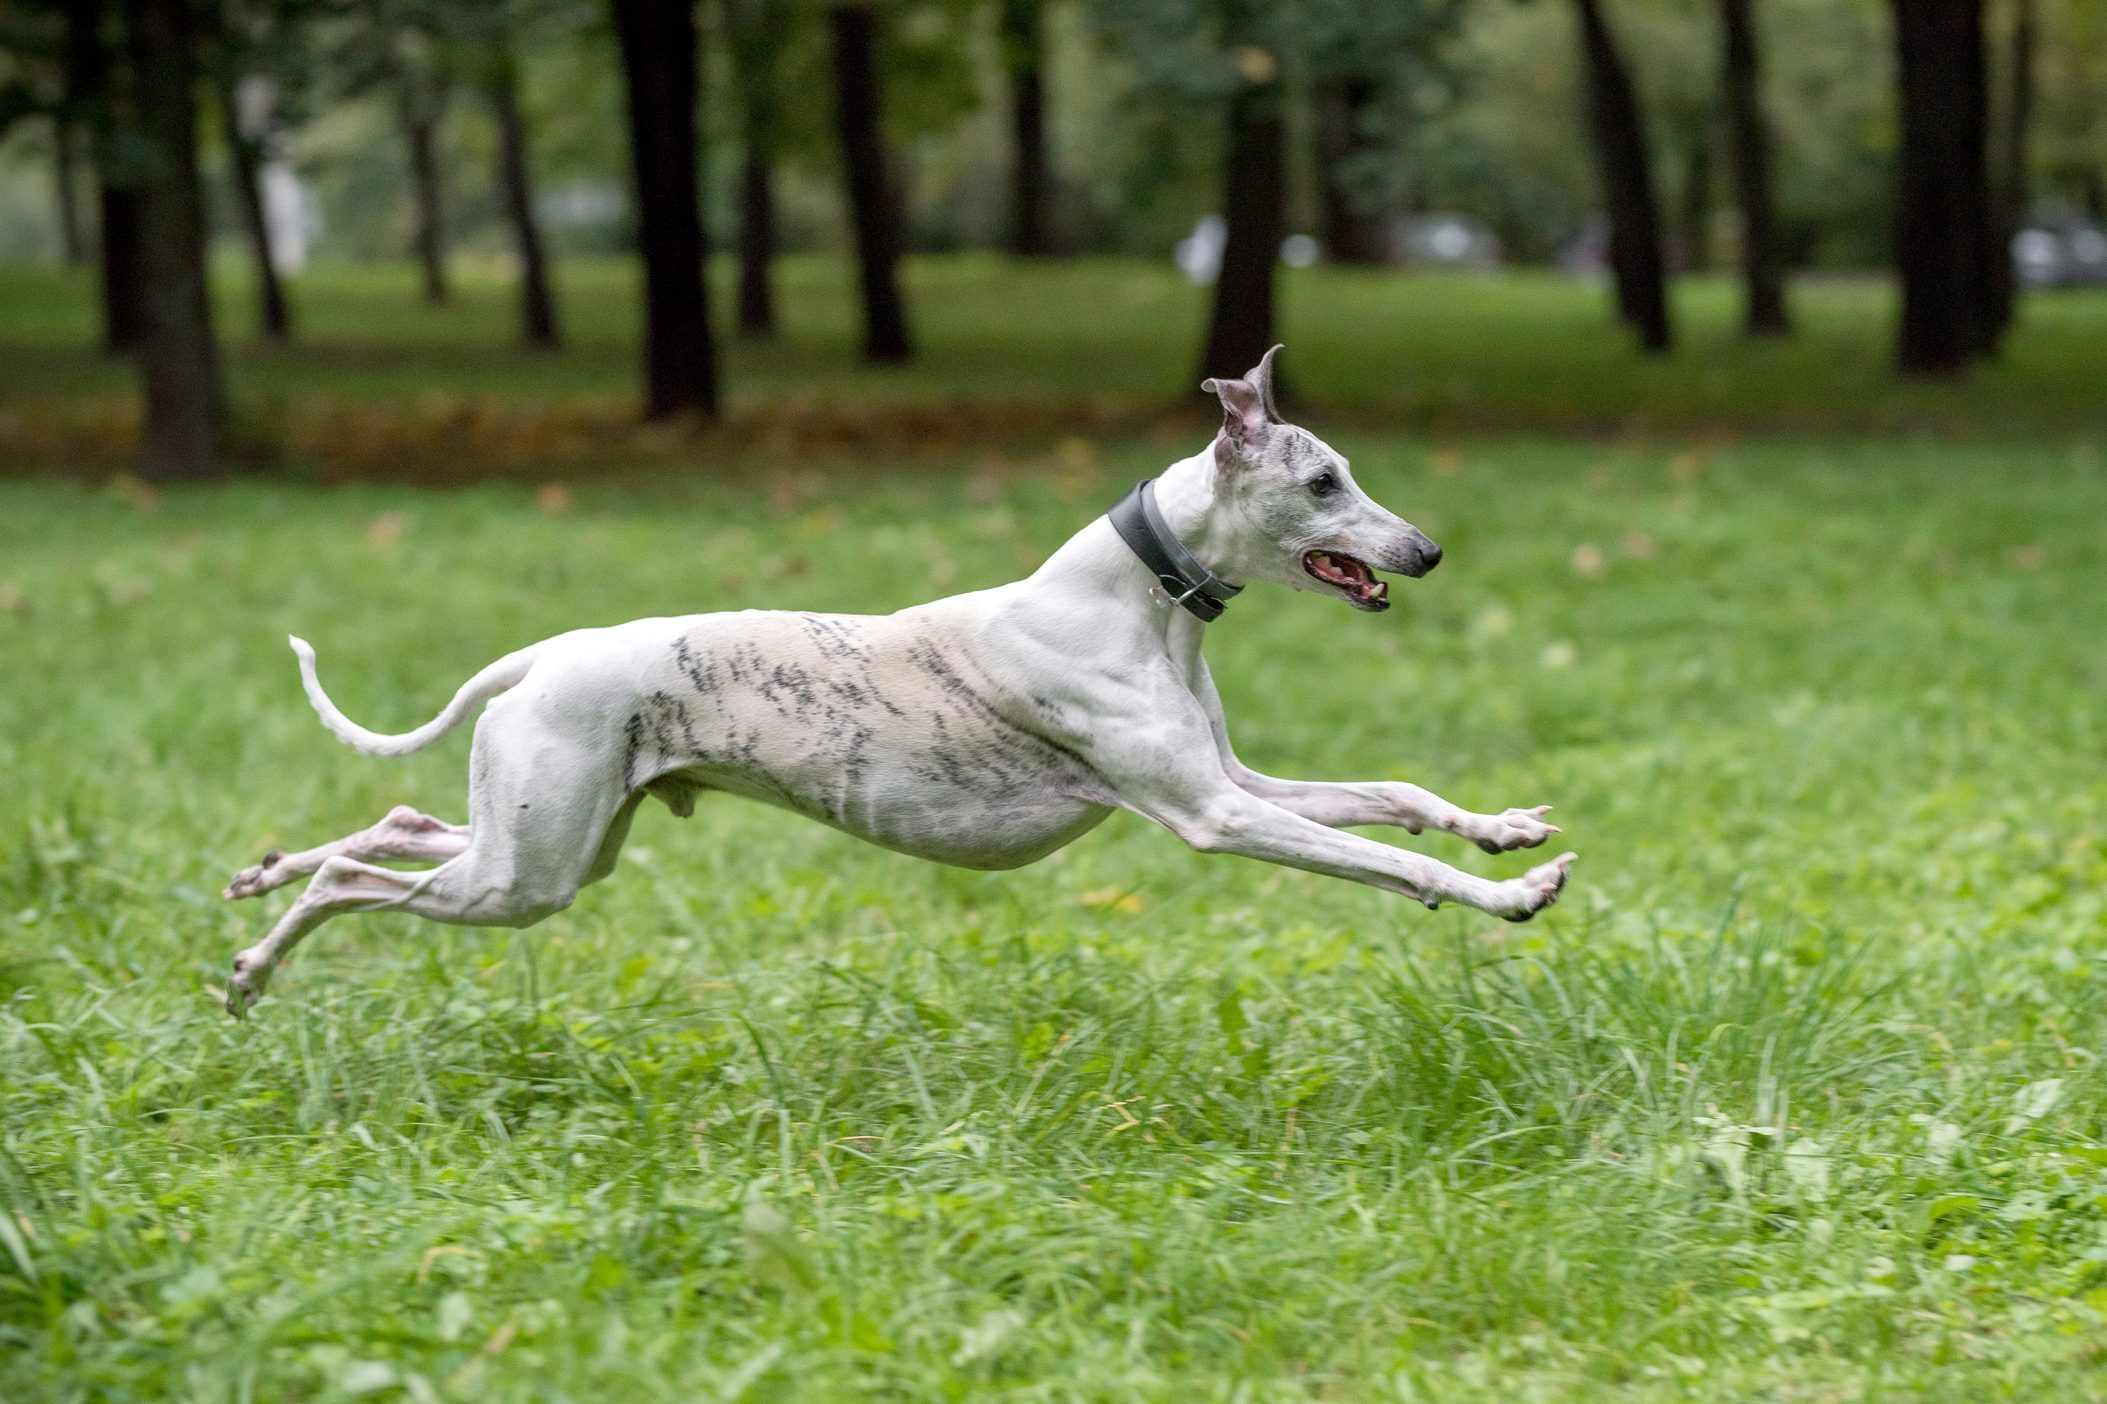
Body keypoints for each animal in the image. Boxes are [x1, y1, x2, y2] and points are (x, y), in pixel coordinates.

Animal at [226, 343, 1584, 1011]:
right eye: (1323, 483)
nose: (1428, 551)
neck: (1137, 604)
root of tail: (541, 653)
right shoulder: (1211, 813)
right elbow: (1389, 860)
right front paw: (1508, 897)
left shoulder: (1236, 781)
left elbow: (1395, 797)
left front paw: (1507, 830)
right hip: (525, 876)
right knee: (365, 875)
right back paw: (253, 967)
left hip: (553, 837)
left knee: (398, 821)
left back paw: (263, 874)